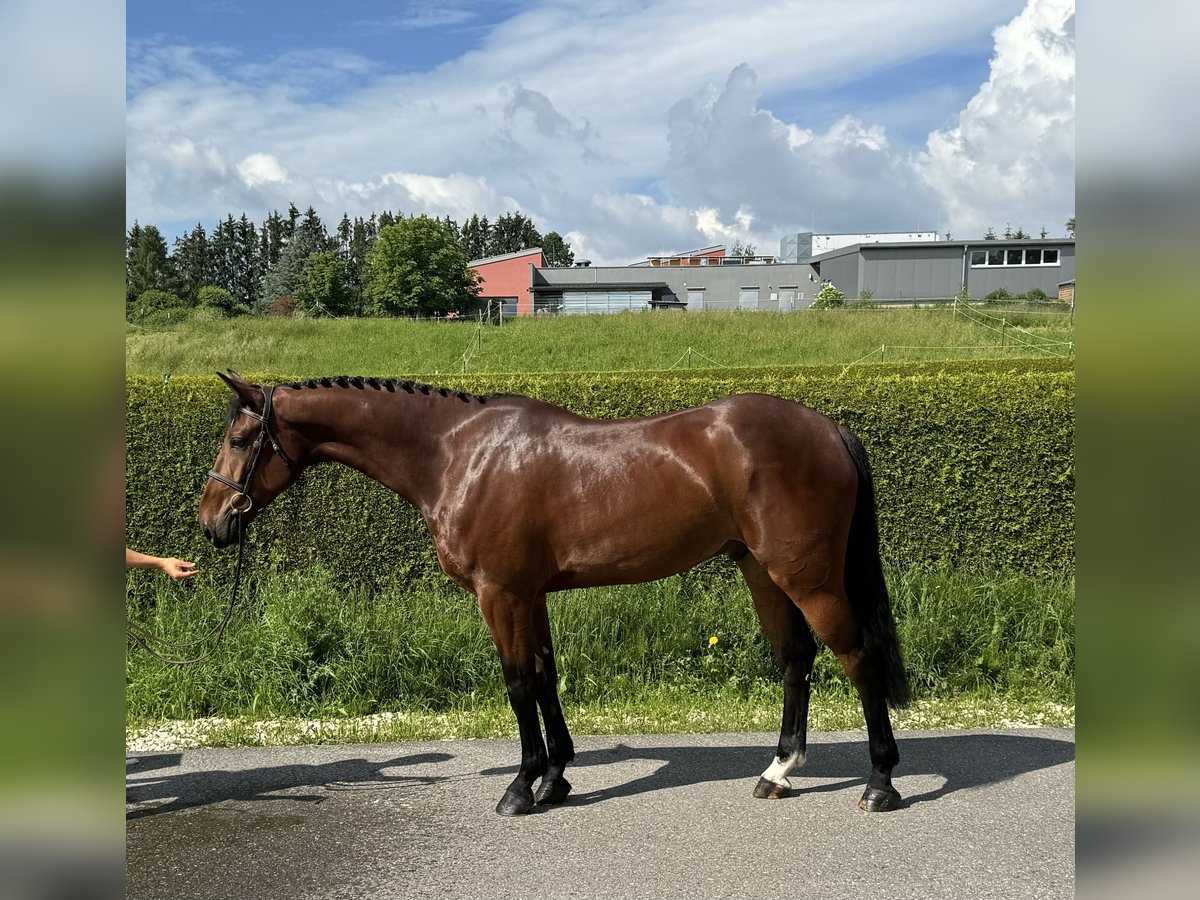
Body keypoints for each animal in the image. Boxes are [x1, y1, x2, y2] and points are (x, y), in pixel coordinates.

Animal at [199, 372, 907, 816]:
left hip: (807, 577)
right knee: (796, 659)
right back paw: (777, 772)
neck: (457, 454)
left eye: (239, 440)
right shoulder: (530, 594)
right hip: (762, 572)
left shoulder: (500, 593)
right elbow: (545, 675)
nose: (211, 522)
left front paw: (519, 787)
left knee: (857, 657)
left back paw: (879, 782)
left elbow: (517, 684)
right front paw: (556, 777)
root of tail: (826, 428)